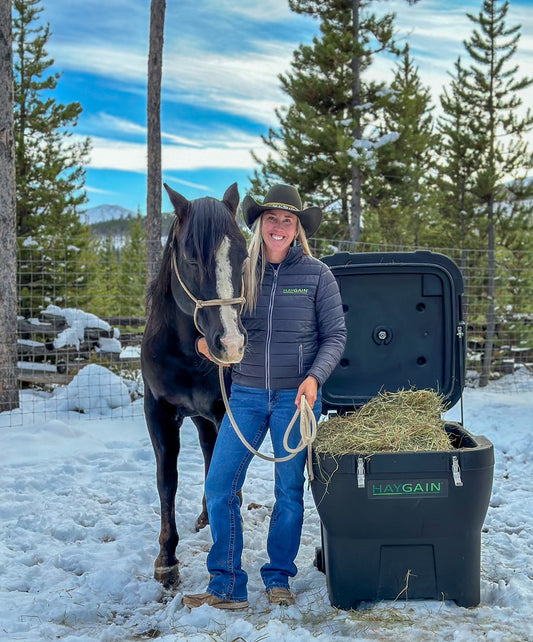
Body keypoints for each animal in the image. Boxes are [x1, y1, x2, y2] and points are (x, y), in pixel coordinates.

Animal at [141, 182, 249, 588]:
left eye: (243, 254)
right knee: (206, 453)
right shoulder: (158, 412)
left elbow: (224, 473)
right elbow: (167, 480)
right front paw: (166, 560)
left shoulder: (225, 412)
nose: (231, 344)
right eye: (189, 257)